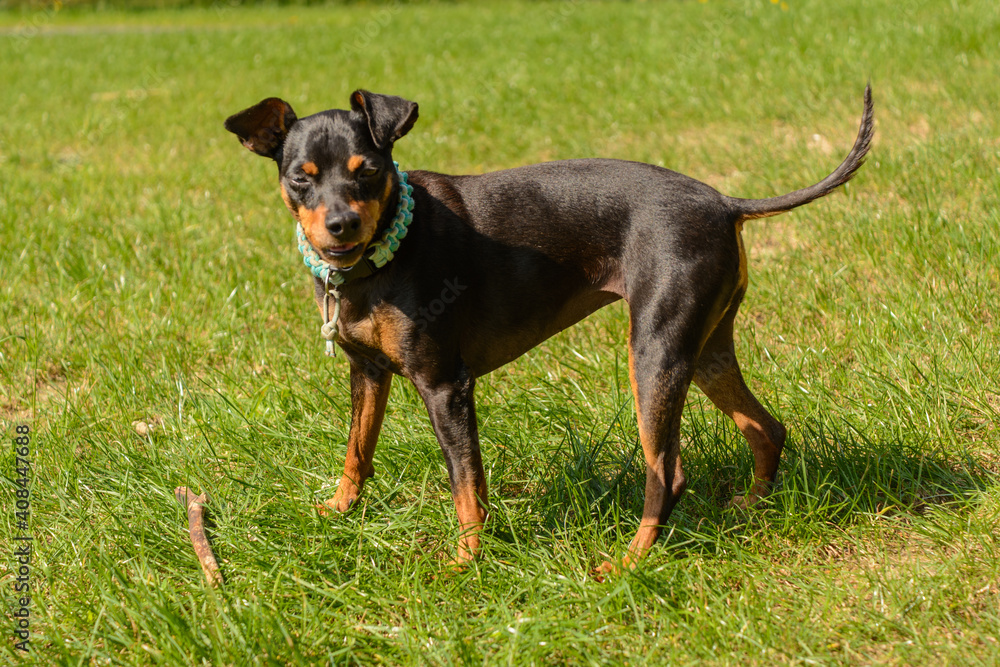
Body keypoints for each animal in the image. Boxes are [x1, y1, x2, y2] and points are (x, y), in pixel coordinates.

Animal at [227, 86, 876, 572]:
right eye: (301, 178)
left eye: (368, 172)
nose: (340, 224)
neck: (381, 257)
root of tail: (723, 202)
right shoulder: (367, 372)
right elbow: (356, 451)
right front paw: (338, 510)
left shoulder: (445, 386)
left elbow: (467, 487)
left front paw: (465, 562)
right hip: (706, 348)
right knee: (767, 428)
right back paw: (754, 507)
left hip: (654, 353)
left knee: (668, 474)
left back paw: (628, 563)